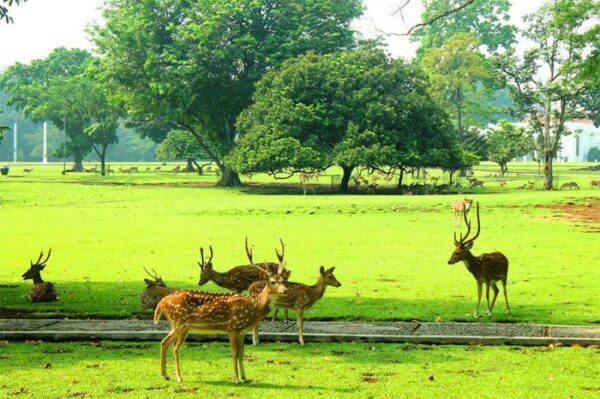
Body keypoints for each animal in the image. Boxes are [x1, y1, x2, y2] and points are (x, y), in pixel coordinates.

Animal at [154, 242, 288, 386]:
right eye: (273, 281)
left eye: (283, 280)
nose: (285, 290)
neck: (254, 307)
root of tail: (162, 302)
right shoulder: (233, 328)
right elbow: (234, 353)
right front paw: (236, 378)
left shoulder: (243, 331)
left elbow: (242, 353)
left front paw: (245, 377)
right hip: (181, 323)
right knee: (175, 348)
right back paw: (179, 378)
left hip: (176, 325)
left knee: (164, 342)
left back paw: (165, 375)